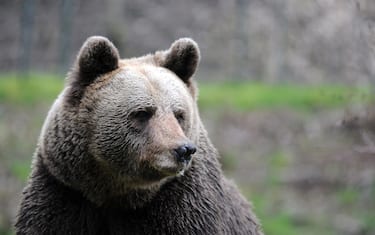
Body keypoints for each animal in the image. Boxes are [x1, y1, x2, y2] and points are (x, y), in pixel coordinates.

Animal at [13, 35, 262, 234]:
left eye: (179, 114)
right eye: (142, 113)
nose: (183, 150)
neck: (116, 194)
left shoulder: (182, 205)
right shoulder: (64, 192)